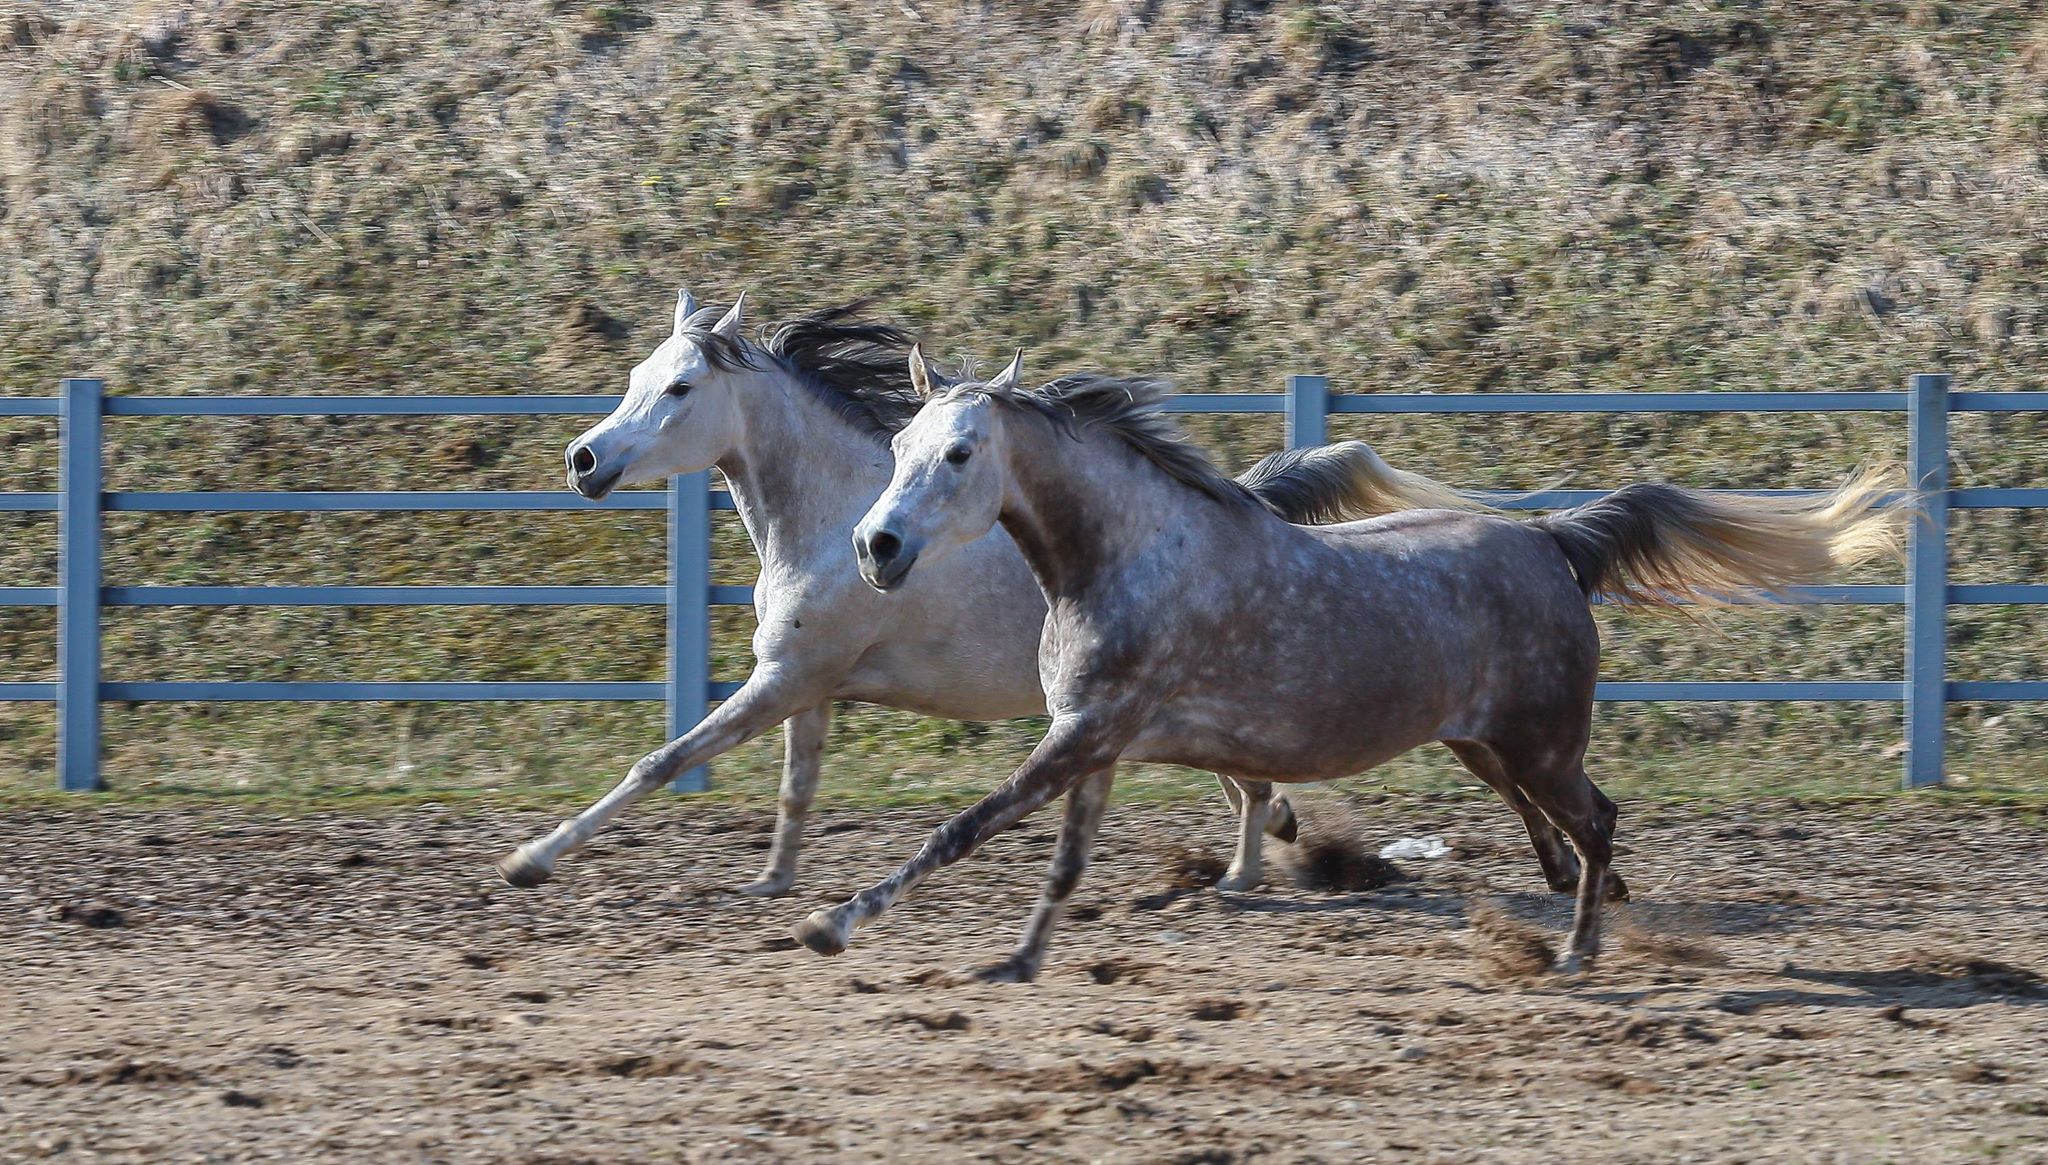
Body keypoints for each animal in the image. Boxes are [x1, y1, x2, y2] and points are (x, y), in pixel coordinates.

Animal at [491, 290, 1490, 970]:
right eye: (634, 379)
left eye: (681, 386)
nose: (585, 460)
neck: (833, 520)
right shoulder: (805, 683)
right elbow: (796, 788)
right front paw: (772, 883)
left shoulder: (784, 679)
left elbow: (659, 762)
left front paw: (530, 860)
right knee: (1249, 780)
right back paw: (1251, 865)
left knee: (1250, 779)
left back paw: (1251, 867)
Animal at [802, 352, 1900, 970]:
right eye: (898, 445)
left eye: (959, 454)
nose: (875, 548)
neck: (1128, 556)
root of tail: (1550, 540)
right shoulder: (1095, 743)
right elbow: (1064, 865)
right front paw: (1020, 962)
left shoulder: (1083, 736)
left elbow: (962, 828)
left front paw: (833, 924)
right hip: (1486, 744)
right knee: (1568, 834)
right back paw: (1588, 910)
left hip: (1538, 742)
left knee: (1595, 821)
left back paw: (1576, 953)